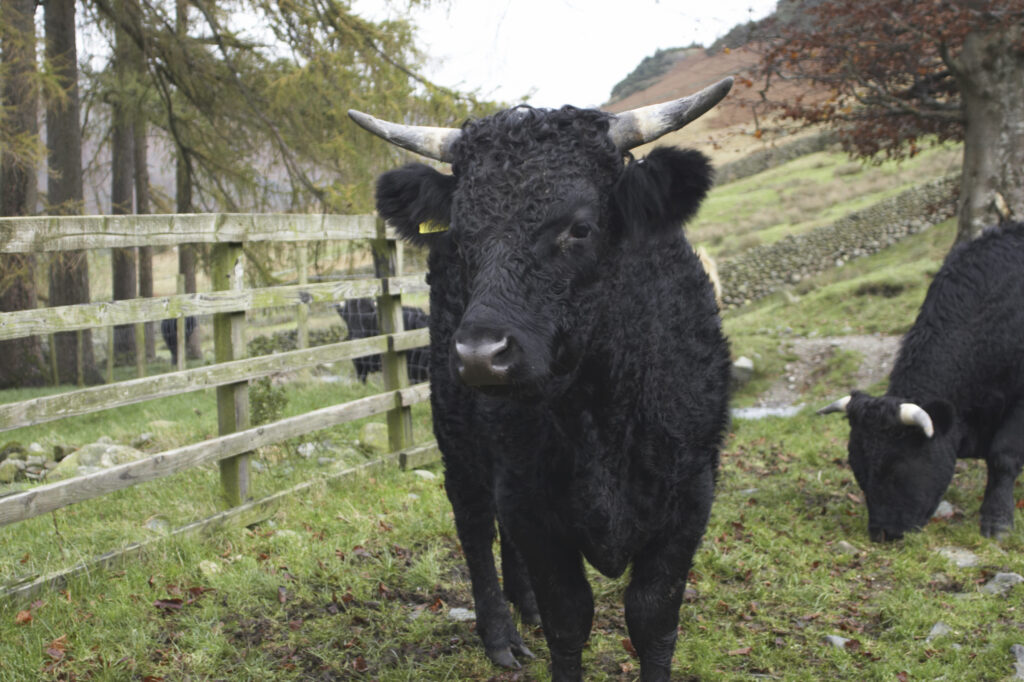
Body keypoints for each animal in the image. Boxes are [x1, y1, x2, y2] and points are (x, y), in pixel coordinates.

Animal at [348, 77, 733, 682]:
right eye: (462, 234)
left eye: (580, 228)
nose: (480, 355)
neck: (600, 409)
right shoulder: (534, 501)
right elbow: (569, 618)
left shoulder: (690, 494)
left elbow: (652, 617)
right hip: (458, 435)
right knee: (475, 524)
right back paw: (502, 634)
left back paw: (522, 608)